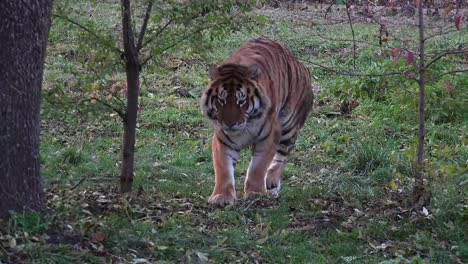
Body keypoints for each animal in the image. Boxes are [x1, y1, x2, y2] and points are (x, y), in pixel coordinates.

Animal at [199, 37, 312, 206]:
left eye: (241, 101)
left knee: (283, 154)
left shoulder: (269, 135)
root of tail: (298, 62)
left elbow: (258, 167)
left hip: (289, 124)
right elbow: (223, 168)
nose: (230, 123)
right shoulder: (222, 139)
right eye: (221, 100)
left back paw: (271, 181)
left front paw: (255, 193)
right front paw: (221, 196)